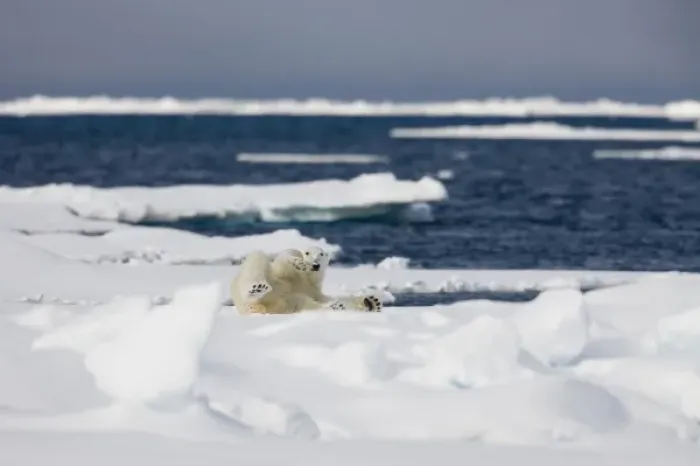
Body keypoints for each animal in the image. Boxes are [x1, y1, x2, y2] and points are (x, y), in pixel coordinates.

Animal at [230, 246, 382, 315]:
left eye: (322, 254)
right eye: (308, 253)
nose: (316, 265)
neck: (306, 279)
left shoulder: (313, 290)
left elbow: (325, 299)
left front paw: (371, 302)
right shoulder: (286, 274)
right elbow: (285, 259)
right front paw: (299, 263)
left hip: (286, 304)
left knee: (306, 304)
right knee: (256, 260)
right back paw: (257, 289)